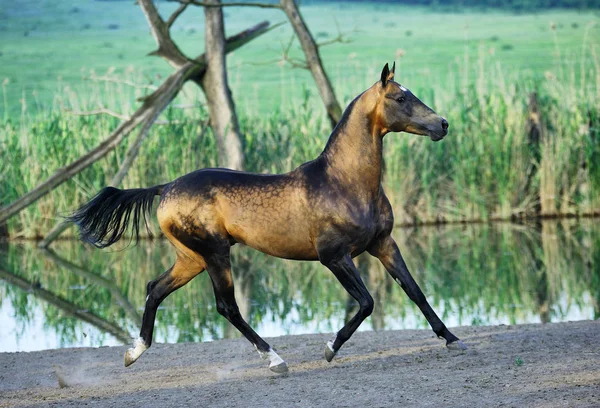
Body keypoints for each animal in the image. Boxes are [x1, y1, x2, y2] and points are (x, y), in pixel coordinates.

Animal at [69, 63, 464, 372]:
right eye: (400, 98)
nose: (443, 124)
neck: (345, 184)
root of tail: (166, 187)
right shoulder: (334, 256)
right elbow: (366, 302)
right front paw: (329, 349)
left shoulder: (383, 243)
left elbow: (415, 291)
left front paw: (452, 339)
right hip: (215, 253)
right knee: (227, 307)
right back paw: (274, 359)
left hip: (191, 258)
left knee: (155, 289)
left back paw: (133, 353)